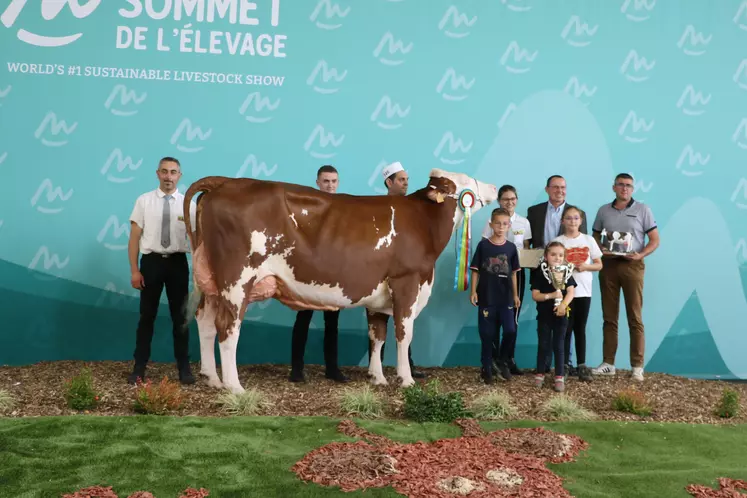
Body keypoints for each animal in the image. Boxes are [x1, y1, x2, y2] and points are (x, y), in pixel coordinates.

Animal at [183, 169, 496, 394]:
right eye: (465, 181)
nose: (493, 187)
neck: (424, 223)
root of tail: (226, 182)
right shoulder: (406, 281)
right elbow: (403, 334)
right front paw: (406, 379)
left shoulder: (379, 293)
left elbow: (377, 335)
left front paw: (377, 377)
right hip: (237, 280)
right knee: (227, 327)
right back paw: (234, 386)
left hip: (212, 282)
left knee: (205, 320)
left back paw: (212, 378)